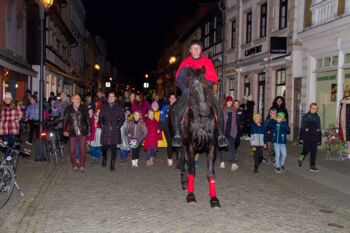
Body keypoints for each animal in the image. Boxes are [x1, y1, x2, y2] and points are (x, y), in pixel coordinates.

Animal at [176, 66, 220, 208]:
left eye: (206, 85)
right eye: (192, 87)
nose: (204, 110)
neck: (202, 120)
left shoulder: (212, 147)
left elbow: (211, 172)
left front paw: (214, 198)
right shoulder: (190, 146)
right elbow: (191, 170)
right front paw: (191, 195)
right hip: (181, 146)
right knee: (183, 163)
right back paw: (184, 182)